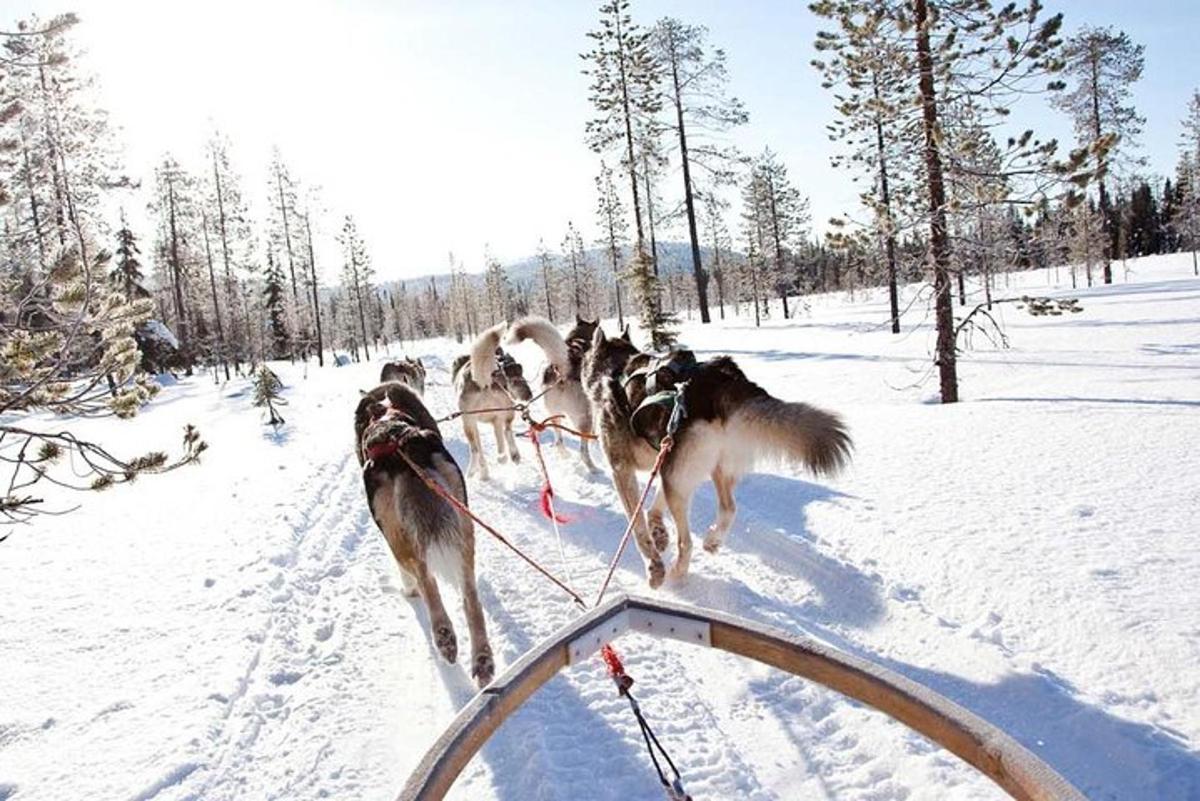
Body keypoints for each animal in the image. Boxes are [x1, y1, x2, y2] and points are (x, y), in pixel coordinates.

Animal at [352, 378, 494, 685]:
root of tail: (401, 445)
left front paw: (408, 591)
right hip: (463, 521)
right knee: (470, 597)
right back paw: (482, 660)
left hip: (398, 536)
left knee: (423, 574)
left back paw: (443, 635)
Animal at [583, 326, 854, 587]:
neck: (616, 368)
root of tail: (724, 381)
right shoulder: (663, 461)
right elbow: (654, 509)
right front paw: (659, 531)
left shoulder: (622, 470)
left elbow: (638, 527)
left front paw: (654, 565)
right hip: (710, 469)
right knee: (729, 508)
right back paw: (712, 540)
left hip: (678, 479)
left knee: (687, 542)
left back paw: (677, 572)